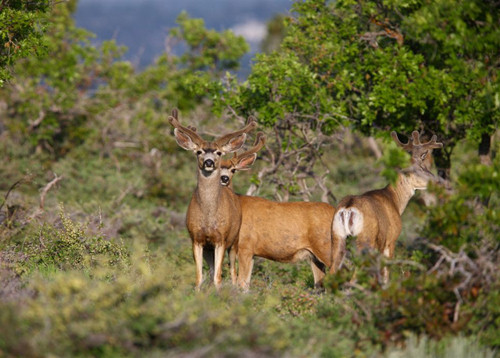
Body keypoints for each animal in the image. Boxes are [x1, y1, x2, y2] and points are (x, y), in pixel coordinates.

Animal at [167, 110, 256, 290]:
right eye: (199, 151)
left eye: (219, 152)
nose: (209, 162)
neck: (208, 217)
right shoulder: (196, 238)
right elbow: (199, 276)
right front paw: (198, 292)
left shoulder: (221, 238)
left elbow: (218, 277)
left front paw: (219, 292)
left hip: (235, 240)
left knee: (233, 271)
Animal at [220, 136, 334, 292]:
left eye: (233, 170)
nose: (223, 179)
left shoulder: (245, 245)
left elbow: (242, 284)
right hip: (315, 256)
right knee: (320, 284)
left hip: (326, 246)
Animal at [332, 131, 442, 282]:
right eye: (418, 169)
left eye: (424, 166)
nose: (437, 181)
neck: (394, 200)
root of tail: (348, 208)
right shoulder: (391, 240)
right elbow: (386, 273)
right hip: (365, 241)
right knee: (356, 274)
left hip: (337, 237)